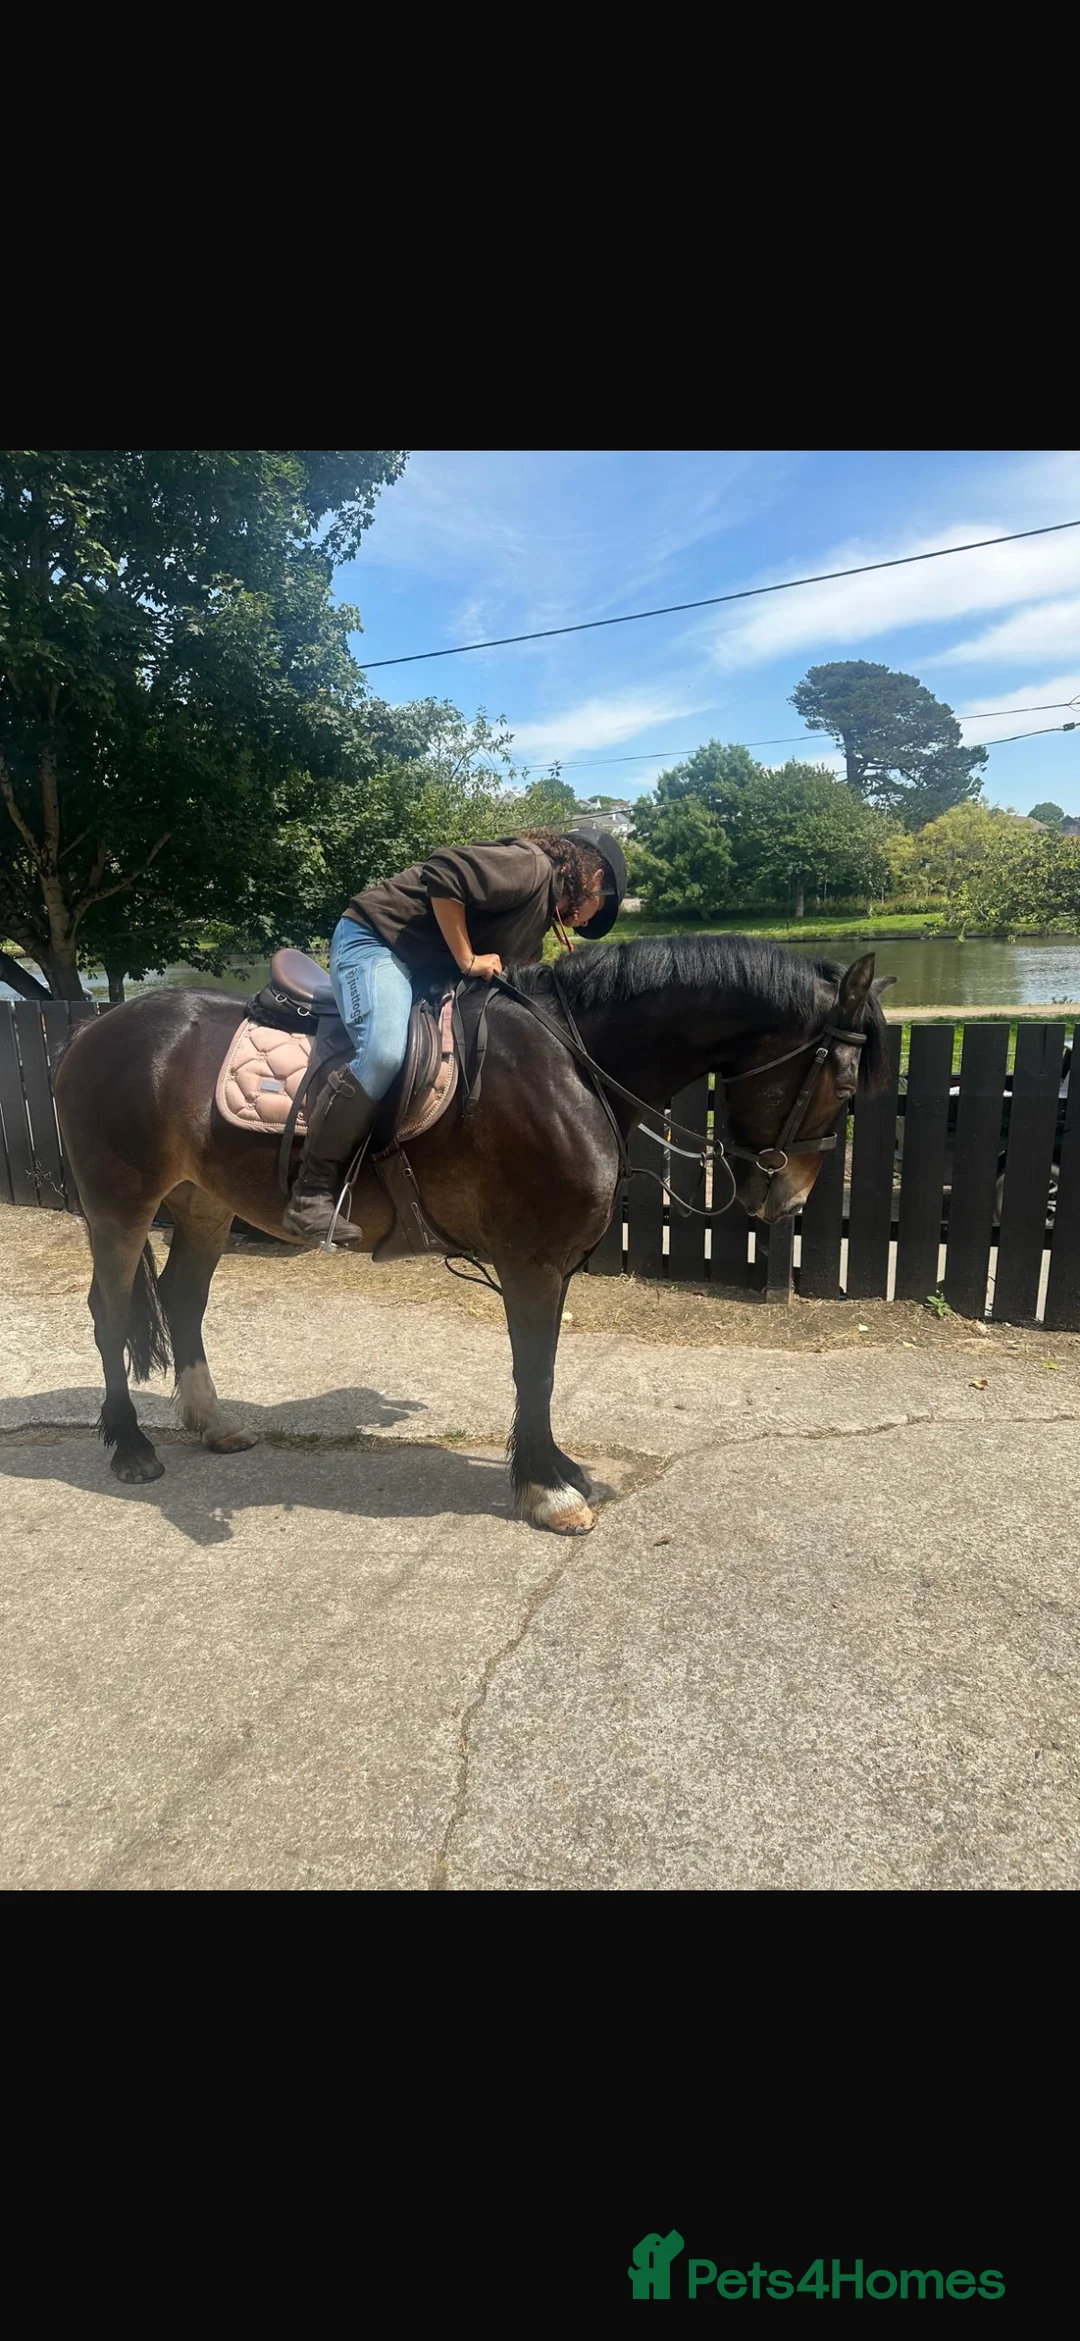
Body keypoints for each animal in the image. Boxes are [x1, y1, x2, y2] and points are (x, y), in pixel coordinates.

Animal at [52, 935, 890, 1534]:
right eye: (846, 1086)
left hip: (202, 1204)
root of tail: (91, 1032)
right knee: (109, 1313)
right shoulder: (530, 1261)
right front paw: (546, 1490)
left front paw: (557, 1469)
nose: (785, 1196)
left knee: (182, 1300)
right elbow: (535, 1371)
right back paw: (131, 1447)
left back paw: (213, 1423)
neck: (568, 1063)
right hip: (120, 1206)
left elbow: (541, 1368)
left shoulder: (552, 1264)